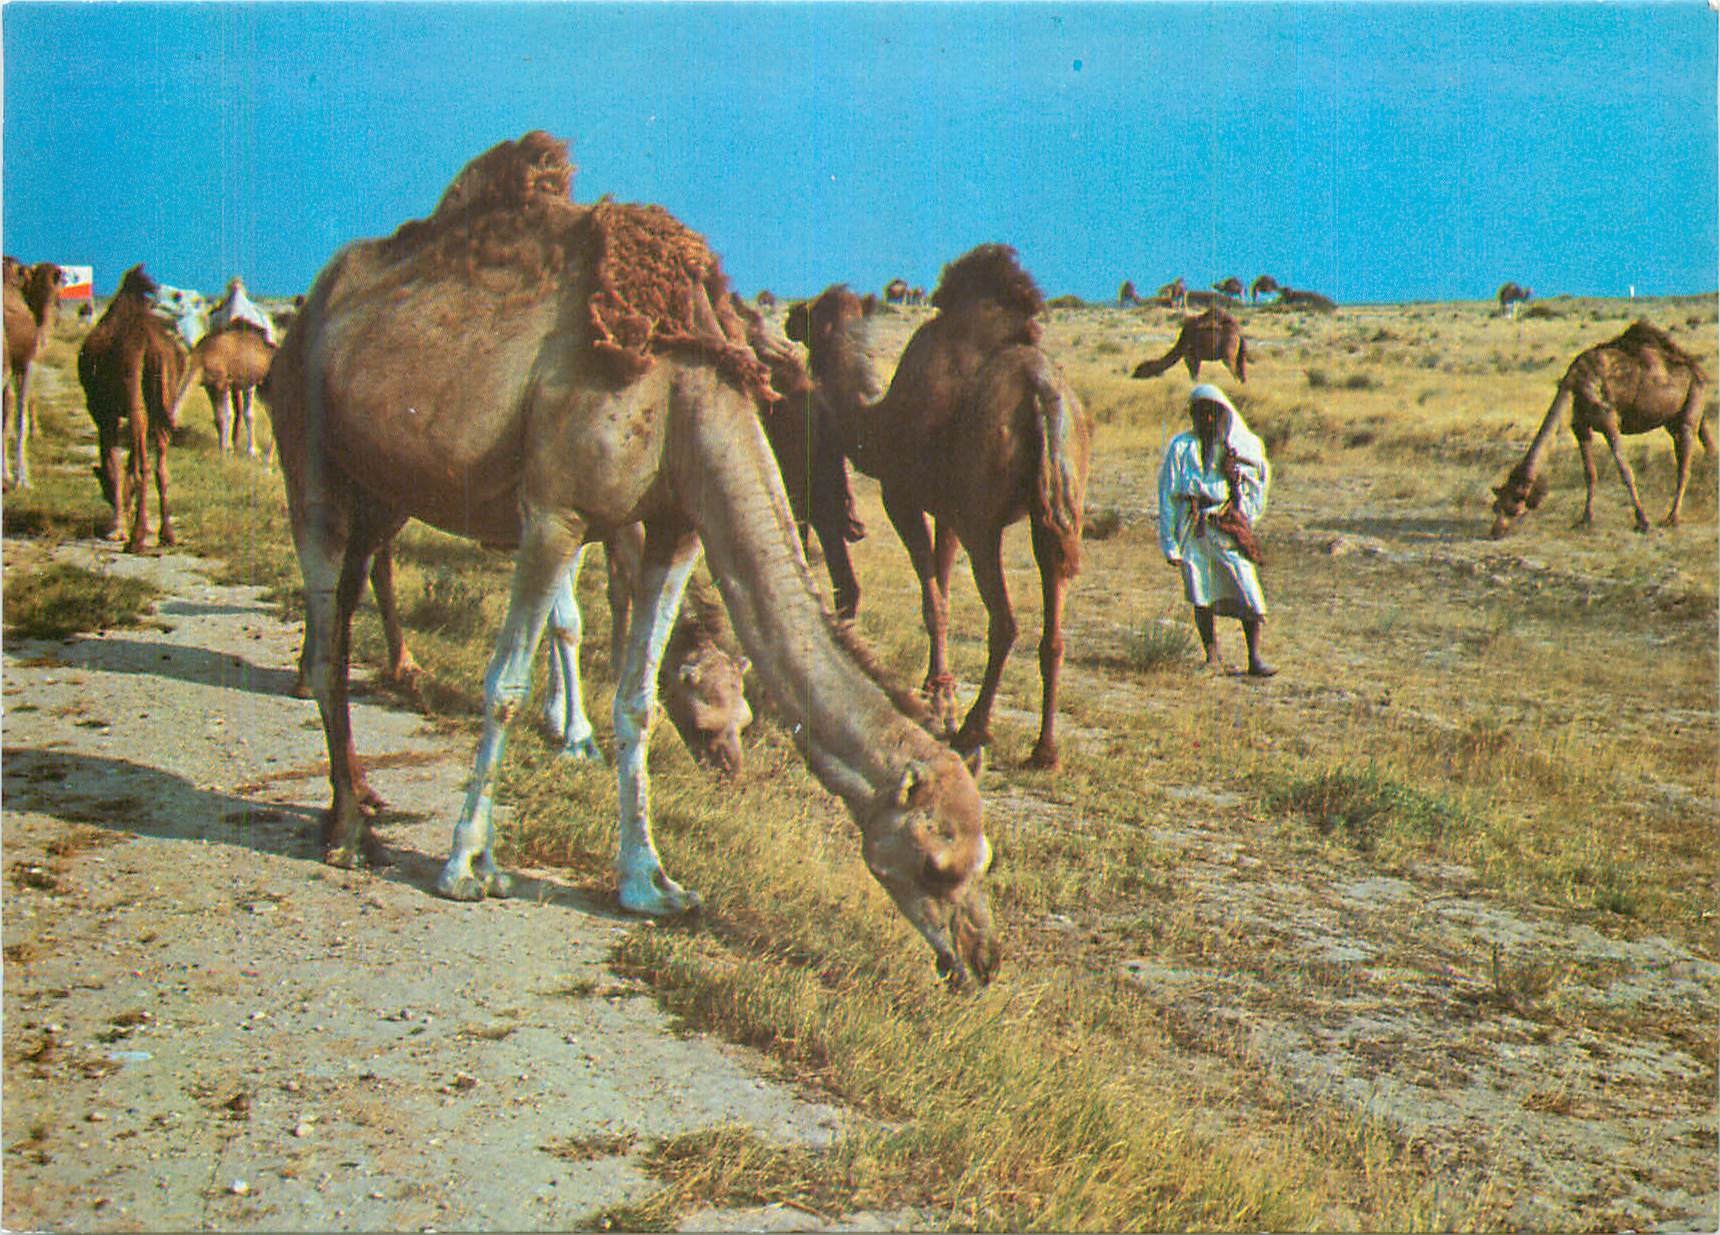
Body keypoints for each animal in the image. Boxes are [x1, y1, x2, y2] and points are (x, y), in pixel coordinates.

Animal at [77, 265, 186, 552]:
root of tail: (152, 345)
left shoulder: (104, 413)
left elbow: (114, 462)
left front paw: (116, 530)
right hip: (164, 402)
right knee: (160, 465)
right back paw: (167, 535)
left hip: (132, 391)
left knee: (141, 463)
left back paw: (136, 539)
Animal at [167, 323, 276, 455]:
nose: (171, 443)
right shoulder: (210, 386)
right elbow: (219, 417)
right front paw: (223, 447)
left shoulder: (223, 383)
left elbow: (227, 415)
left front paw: (226, 448)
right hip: (259, 388)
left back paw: (257, 452)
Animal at [265, 132, 997, 987]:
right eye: (938, 862)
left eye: (986, 860)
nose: (983, 959)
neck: (685, 392)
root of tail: (313, 306)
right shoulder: (556, 512)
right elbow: (505, 683)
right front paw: (468, 865)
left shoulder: (677, 527)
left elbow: (639, 700)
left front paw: (649, 882)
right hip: (308, 450)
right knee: (326, 635)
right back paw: (350, 830)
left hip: (386, 487)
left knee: (347, 606)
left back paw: (360, 799)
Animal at [796, 246, 1091, 770]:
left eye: (812, 314)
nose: (790, 314)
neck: (877, 419)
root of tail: (1043, 394)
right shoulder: (949, 512)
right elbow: (944, 587)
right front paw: (939, 687)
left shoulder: (904, 498)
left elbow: (932, 599)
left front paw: (939, 697)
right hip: (1056, 515)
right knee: (1053, 632)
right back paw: (1045, 750)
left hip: (983, 521)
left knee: (1005, 622)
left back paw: (974, 732)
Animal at [1490, 321, 1714, 538]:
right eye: (1496, 506)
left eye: (1513, 508)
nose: (1495, 532)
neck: (1574, 386)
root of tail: (1698, 371)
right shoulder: (1580, 427)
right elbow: (1589, 473)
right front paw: (1585, 520)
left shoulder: (1608, 420)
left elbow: (1625, 470)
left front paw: (1643, 521)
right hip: (1674, 420)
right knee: (1703, 450)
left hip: (1690, 410)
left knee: (1684, 465)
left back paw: (1672, 518)